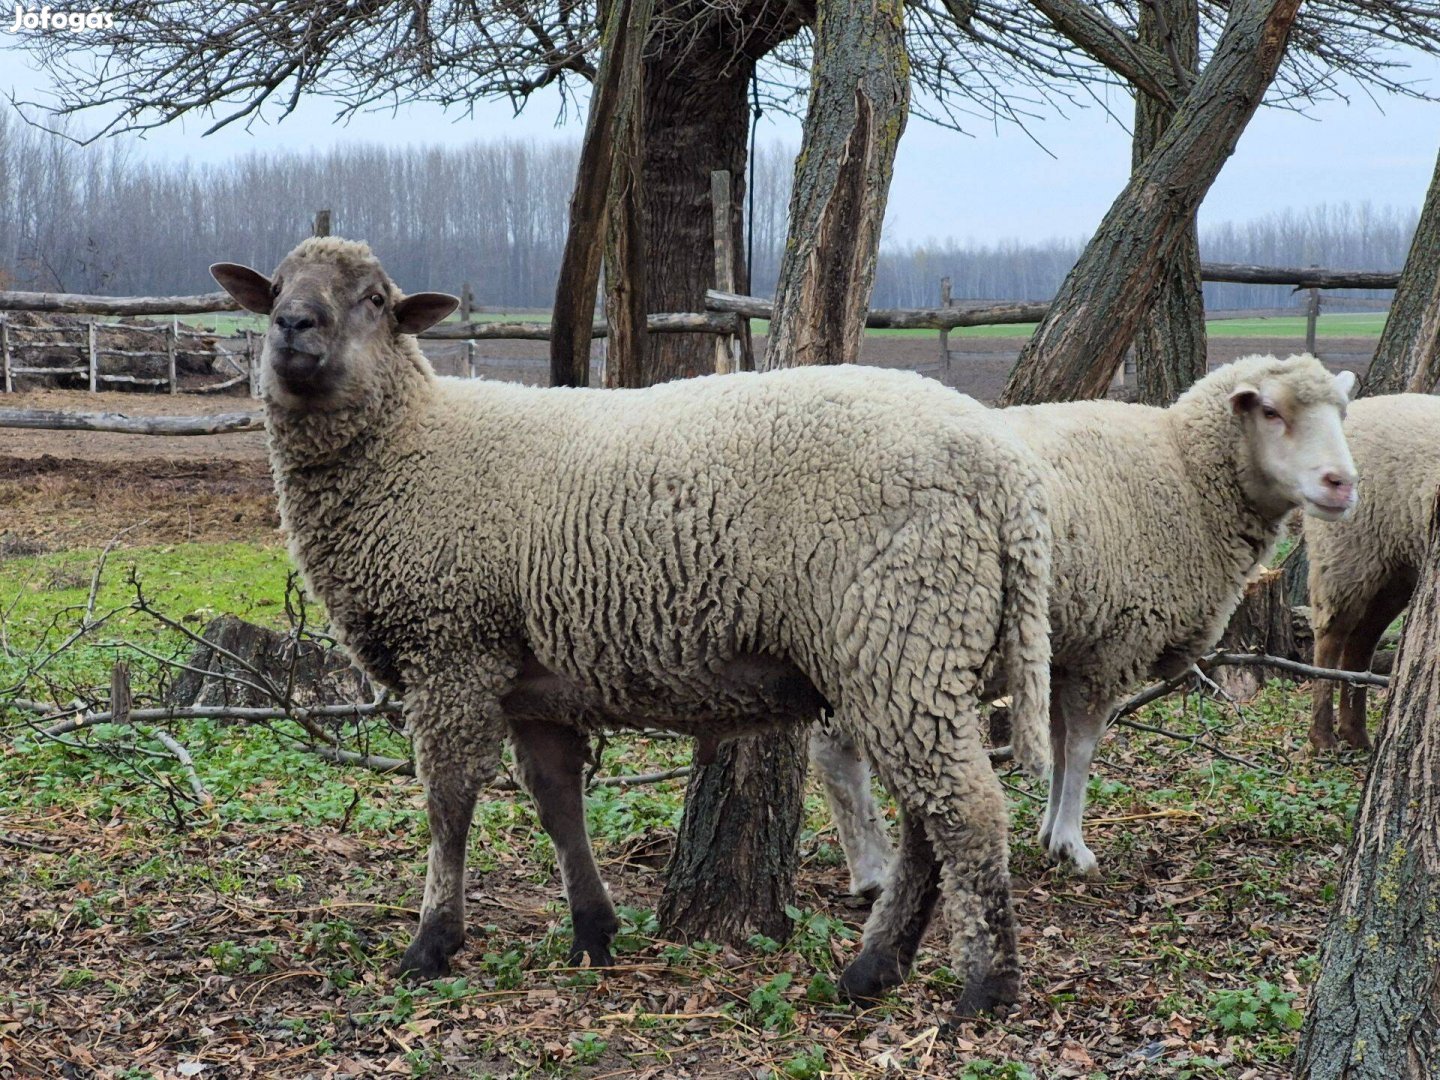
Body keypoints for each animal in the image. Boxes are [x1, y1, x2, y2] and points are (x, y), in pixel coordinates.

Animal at [208, 236, 1054, 1013]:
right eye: (276, 286)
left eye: (376, 300)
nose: (292, 325)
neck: (411, 442)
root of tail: (1000, 466)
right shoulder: (530, 681)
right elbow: (557, 805)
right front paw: (594, 930)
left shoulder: (453, 649)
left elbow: (448, 804)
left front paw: (432, 942)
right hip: (919, 653)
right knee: (928, 817)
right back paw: (878, 966)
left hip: (900, 632)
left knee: (966, 811)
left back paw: (986, 986)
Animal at [817, 355, 1353, 887]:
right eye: (1270, 411)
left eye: (1342, 413)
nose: (1342, 483)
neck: (1186, 473)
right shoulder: (1113, 644)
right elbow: (1081, 747)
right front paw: (1071, 844)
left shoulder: (1068, 649)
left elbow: (1057, 742)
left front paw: (1049, 831)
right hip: (889, 628)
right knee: (845, 753)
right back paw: (876, 867)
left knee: (833, 753)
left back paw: (869, 869)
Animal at [1307, 391, 1440, 754]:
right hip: (1346, 550)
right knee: (1331, 638)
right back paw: (1323, 737)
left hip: (1397, 568)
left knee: (1361, 641)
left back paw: (1356, 733)